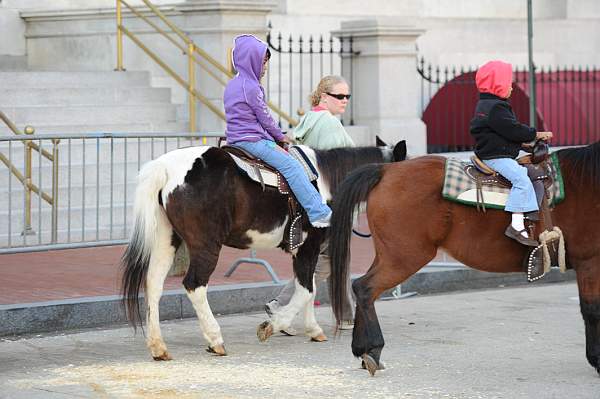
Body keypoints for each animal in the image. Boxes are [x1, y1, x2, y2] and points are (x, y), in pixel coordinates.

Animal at [119, 140, 406, 360]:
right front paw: (273, 325)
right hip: (205, 245)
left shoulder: (306, 252)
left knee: (153, 284)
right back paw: (215, 339)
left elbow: (310, 288)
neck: (324, 182)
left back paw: (158, 347)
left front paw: (312, 329)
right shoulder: (308, 248)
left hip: (166, 239)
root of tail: (165, 167)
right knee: (194, 285)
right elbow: (306, 291)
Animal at [328, 142, 600, 376]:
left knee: (361, 287)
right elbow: (591, 309)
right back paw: (372, 349)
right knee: (365, 288)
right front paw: (596, 360)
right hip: (405, 257)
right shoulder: (589, 262)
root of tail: (386, 170)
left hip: (390, 254)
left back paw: (361, 350)